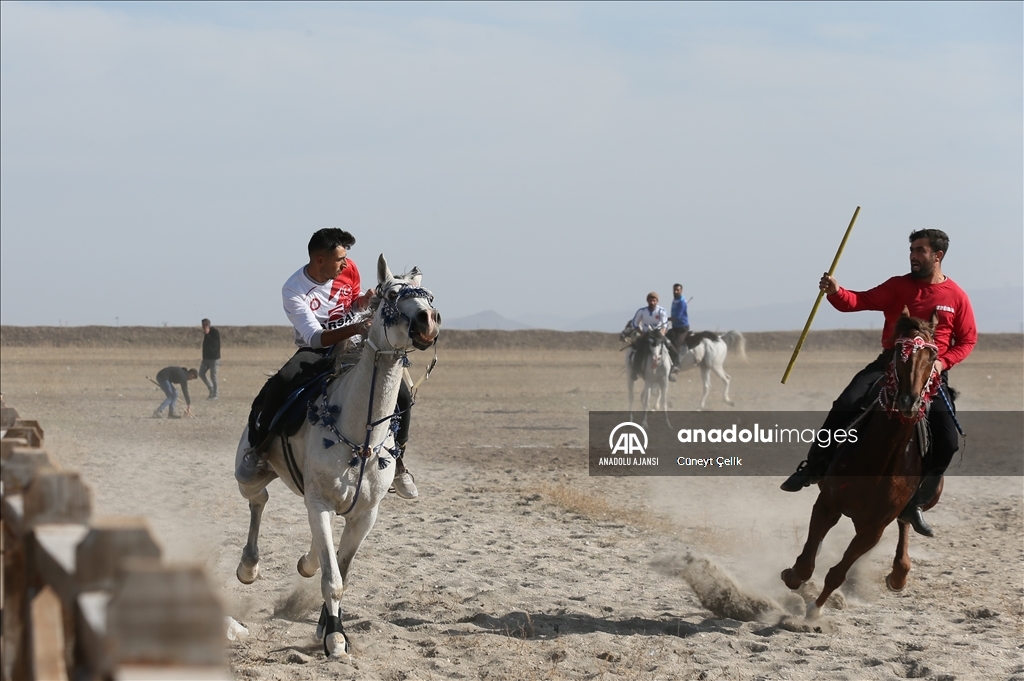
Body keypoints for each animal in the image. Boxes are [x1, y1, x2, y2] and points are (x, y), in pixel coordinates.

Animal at [234, 254, 442, 659]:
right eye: (391, 294)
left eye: (429, 295)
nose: (428, 322)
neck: (360, 432)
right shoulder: (318, 502)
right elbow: (333, 580)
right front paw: (334, 638)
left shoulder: (365, 515)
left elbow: (340, 571)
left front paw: (327, 627)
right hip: (247, 473)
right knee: (258, 498)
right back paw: (248, 568)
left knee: (311, 544)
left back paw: (306, 561)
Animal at [782, 311, 942, 618]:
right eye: (899, 353)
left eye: (931, 356)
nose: (909, 401)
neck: (880, 461)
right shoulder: (827, 504)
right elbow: (807, 561)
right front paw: (792, 576)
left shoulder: (873, 528)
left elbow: (837, 573)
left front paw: (814, 611)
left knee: (906, 520)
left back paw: (899, 573)